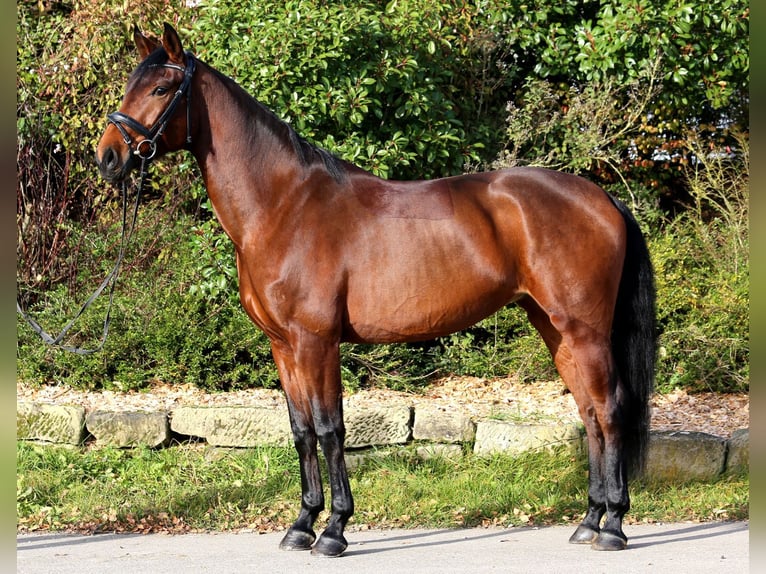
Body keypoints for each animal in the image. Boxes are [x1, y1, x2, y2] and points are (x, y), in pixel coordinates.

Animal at [96, 24, 656, 556]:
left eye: (162, 88)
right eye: (128, 86)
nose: (108, 158)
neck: (283, 206)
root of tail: (602, 198)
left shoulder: (316, 342)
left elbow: (330, 429)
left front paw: (334, 531)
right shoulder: (283, 346)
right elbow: (301, 431)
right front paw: (301, 525)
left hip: (584, 329)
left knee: (609, 410)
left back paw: (614, 526)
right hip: (555, 327)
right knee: (589, 413)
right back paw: (589, 521)